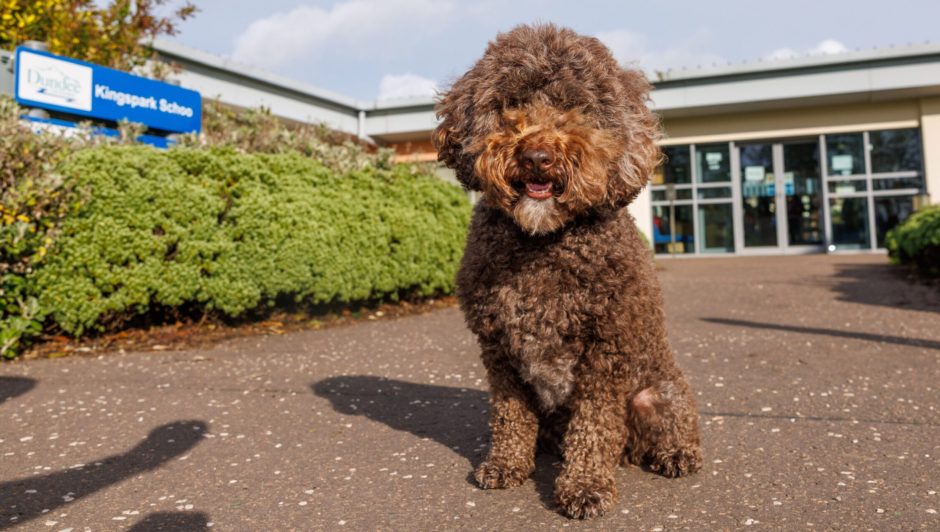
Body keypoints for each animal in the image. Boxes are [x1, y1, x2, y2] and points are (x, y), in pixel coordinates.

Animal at [432, 25, 696, 520]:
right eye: (510, 103)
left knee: (669, 426)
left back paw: (676, 454)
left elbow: (594, 425)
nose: (537, 156)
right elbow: (511, 415)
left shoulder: (606, 351)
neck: (543, 243)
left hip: (659, 392)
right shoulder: (499, 349)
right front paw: (506, 463)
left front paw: (586, 486)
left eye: (576, 106)